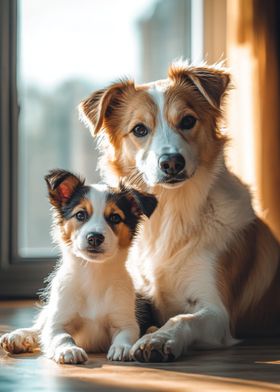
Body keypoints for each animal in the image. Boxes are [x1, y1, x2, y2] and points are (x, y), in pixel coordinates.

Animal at [0, 170, 158, 362]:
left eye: (115, 217)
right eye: (80, 215)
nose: (95, 238)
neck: (93, 273)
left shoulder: (125, 321)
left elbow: (126, 334)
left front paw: (122, 348)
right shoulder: (58, 322)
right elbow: (61, 336)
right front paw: (69, 349)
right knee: (39, 327)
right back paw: (18, 336)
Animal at [79, 62, 280, 362]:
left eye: (187, 121)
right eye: (139, 129)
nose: (172, 162)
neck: (170, 212)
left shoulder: (217, 312)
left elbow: (183, 318)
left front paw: (158, 339)